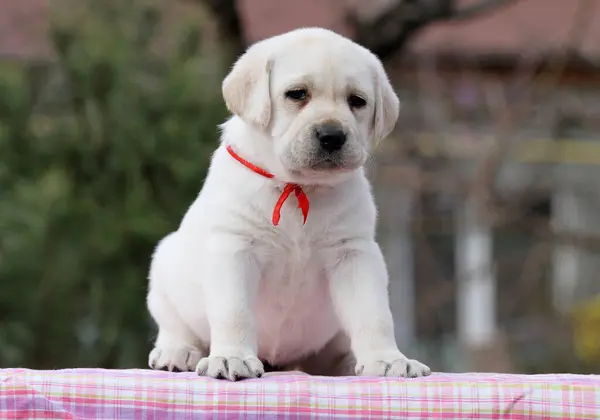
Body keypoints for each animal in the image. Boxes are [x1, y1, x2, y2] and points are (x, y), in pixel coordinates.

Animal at [149, 26, 432, 380]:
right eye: (297, 94)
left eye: (357, 101)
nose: (332, 135)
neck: (299, 186)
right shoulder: (234, 248)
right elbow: (234, 312)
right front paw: (230, 357)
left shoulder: (354, 254)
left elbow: (374, 314)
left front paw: (388, 360)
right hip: (163, 272)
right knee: (174, 326)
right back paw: (177, 352)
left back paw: (348, 364)